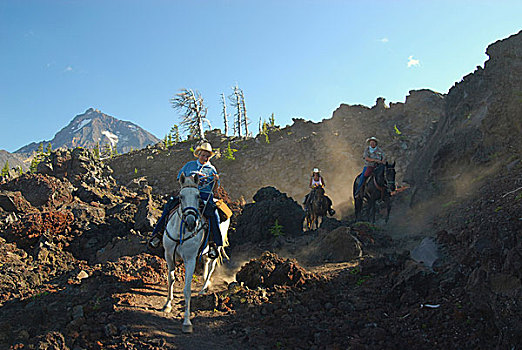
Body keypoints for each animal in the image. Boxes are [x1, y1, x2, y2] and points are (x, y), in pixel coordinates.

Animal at [161, 172, 229, 334]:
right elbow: (170, 279)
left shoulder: (190, 260)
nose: (192, 223)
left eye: (198, 196)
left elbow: (187, 290)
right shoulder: (169, 256)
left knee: (211, 266)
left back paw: (204, 288)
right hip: (205, 250)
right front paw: (167, 305)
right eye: (181, 196)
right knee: (206, 262)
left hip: (217, 246)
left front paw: (187, 322)